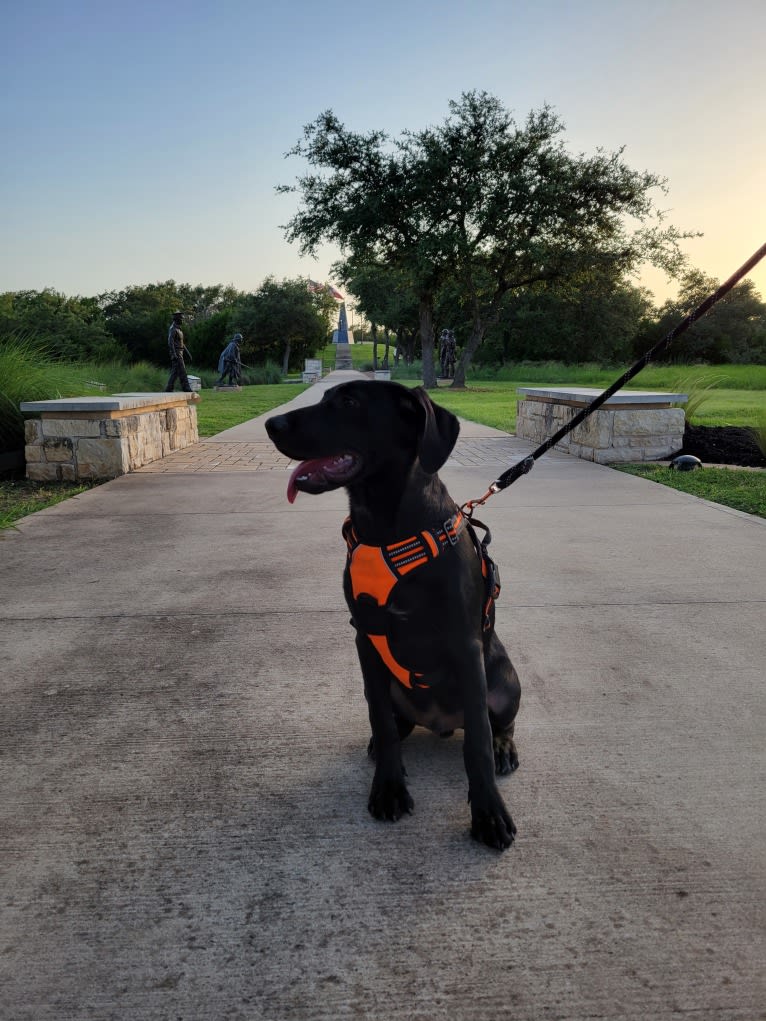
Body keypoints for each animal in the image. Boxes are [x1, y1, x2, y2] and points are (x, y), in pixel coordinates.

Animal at [265, 379, 522, 849]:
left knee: (498, 723)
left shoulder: (465, 646)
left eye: (349, 402)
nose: (271, 424)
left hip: (507, 681)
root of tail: (441, 722)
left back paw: (504, 749)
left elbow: (476, 741)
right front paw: (389, 787)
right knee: (393, 723)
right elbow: (382, 722)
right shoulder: (365, 637)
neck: (387, 528)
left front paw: (489, 813)